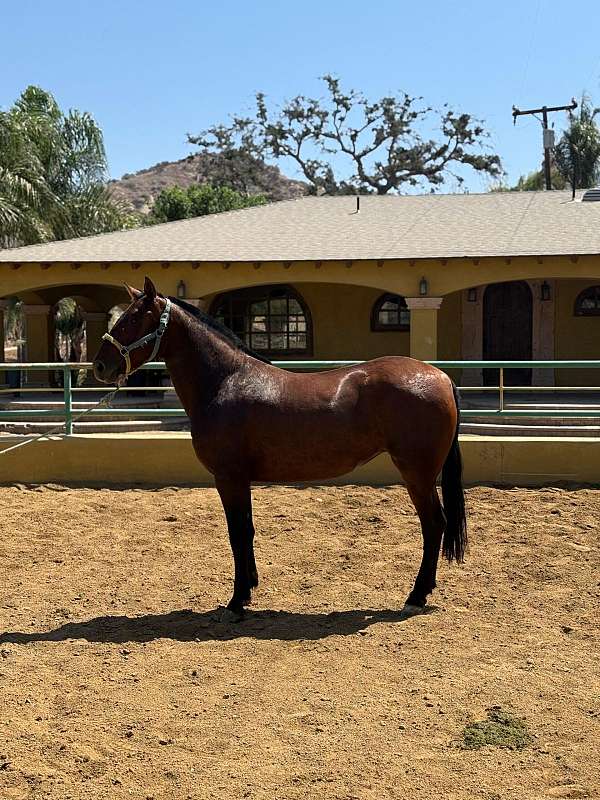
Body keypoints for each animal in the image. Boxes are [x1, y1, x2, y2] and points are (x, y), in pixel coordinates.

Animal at [93, 277, 467, 621]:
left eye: (132, 319)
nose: (100, 366)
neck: (225, 381)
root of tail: (441, 377)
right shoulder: (239, 479)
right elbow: (246, 530)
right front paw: (249, 589)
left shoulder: (229, 477)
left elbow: (238, 533)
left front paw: (236, 601)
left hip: (417, 473)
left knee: (434, 523)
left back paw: (415, 596)